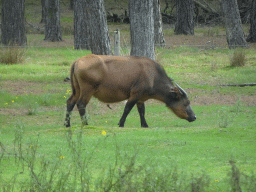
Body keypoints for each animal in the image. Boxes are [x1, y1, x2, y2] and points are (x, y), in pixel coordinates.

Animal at [64, 54, 196, 127]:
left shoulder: (141, 98)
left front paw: (144, 125)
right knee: (81, 104)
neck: (153, 76)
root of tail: (77, 61)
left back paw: (67, 124)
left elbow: (142, 111)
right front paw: (121, 123)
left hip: (76, 90)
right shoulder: (135, 94)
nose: (194, 117)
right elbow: (127, 109)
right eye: (186, 103)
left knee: (70, 102)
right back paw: (85, 124)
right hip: (87, 90)